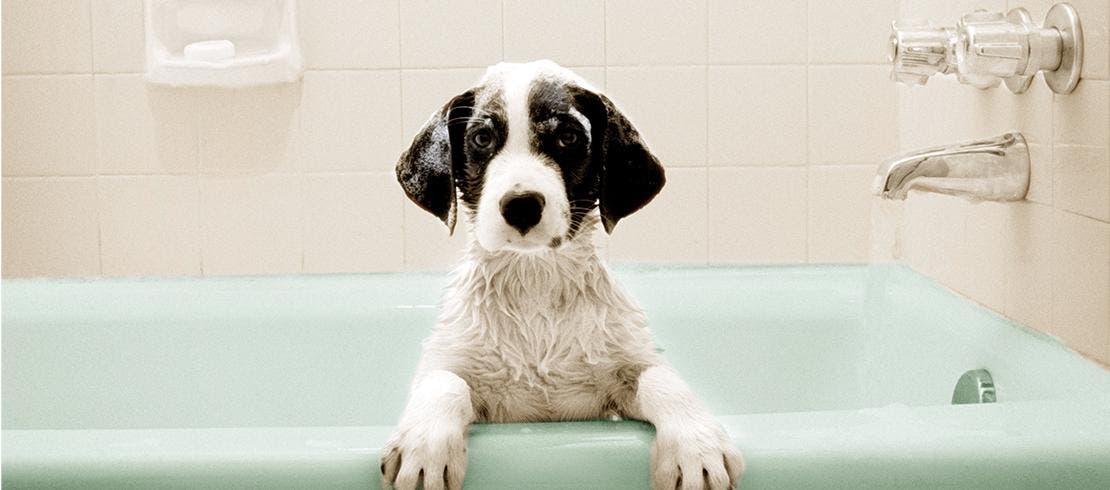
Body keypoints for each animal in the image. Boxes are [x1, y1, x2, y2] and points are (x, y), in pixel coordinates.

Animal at [384, 61, 745, 488]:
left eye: (568, 137)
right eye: (482, 138)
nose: (521, 206)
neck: (536, 283)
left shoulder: (621, 376)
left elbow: (663, 379)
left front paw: (696, 444)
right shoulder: (451, 362)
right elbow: (445, 383)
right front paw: (424, 445)